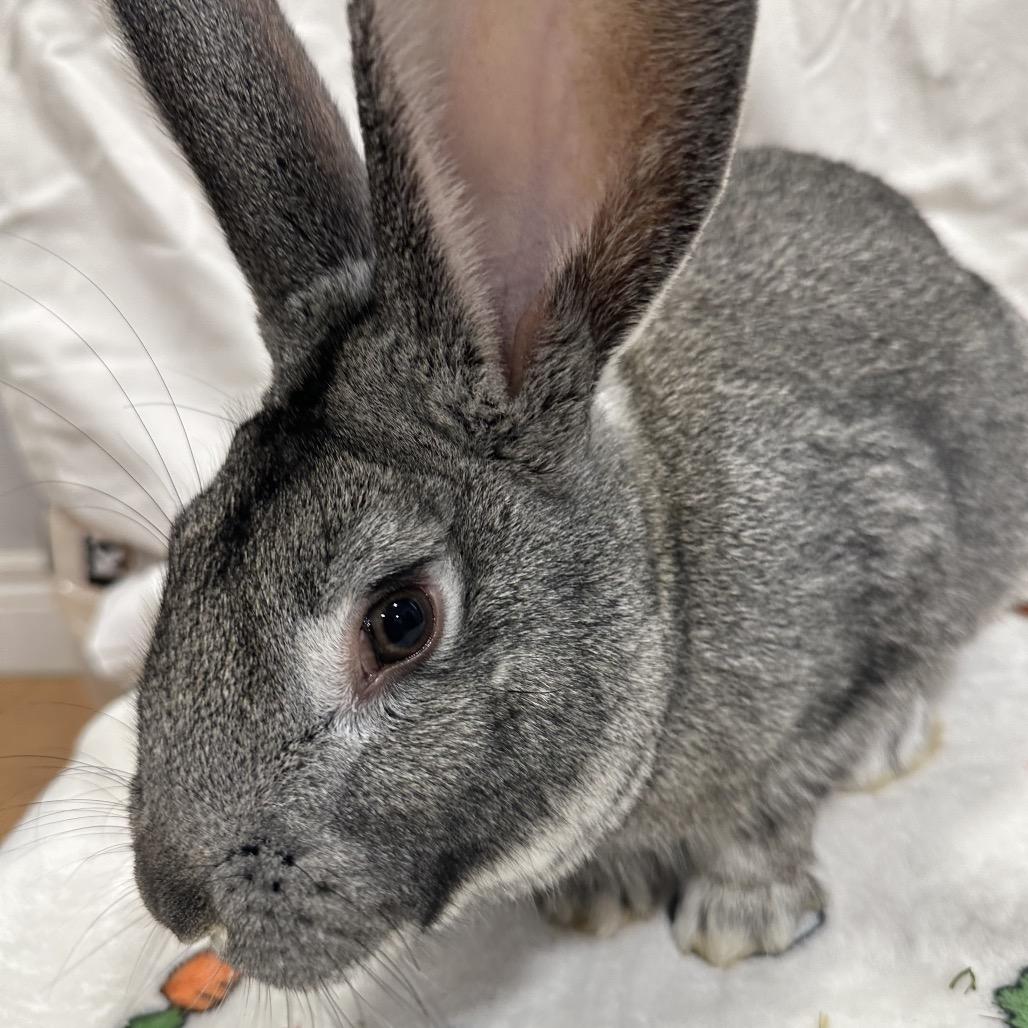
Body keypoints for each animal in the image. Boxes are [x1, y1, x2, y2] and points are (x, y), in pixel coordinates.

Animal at [110, 0, 1028, 992]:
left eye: (400, 621)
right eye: (182, 548)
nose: (171, 901)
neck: (668, 585)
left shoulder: (876, 587)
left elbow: (777, 804)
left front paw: (741, 919)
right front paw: (600, 901)